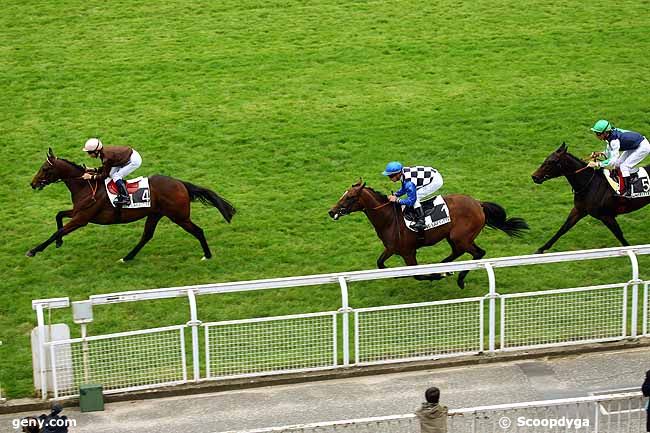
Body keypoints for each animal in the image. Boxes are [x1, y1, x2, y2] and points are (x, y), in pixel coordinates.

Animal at [28, 148, 235, 260]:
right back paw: (127, 257)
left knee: (198, 231)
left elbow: (57, 231)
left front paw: (34, 250)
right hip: (155, 214)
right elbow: (59, 215)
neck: (85, 186)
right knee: (146, 236)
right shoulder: (78, 212)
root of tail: (180, 183)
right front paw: (59, 243)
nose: (33, 183)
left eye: (45, 168)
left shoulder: (82, 219)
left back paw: (207, 255)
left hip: (179, 216)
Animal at [330, 180, 528, 286]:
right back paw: (444, 268)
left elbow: (417, 274)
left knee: (479, 253)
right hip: (455, 238)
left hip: (461, 238)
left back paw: (455, 277)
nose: (331, 212)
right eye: (343, 194)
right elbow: (380, 263)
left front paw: (435, 275)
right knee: (459, 252)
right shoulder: (392, 248)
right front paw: (393, 273)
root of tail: (478, 204)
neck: (390, 219)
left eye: (349, 197)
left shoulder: (408, 252)